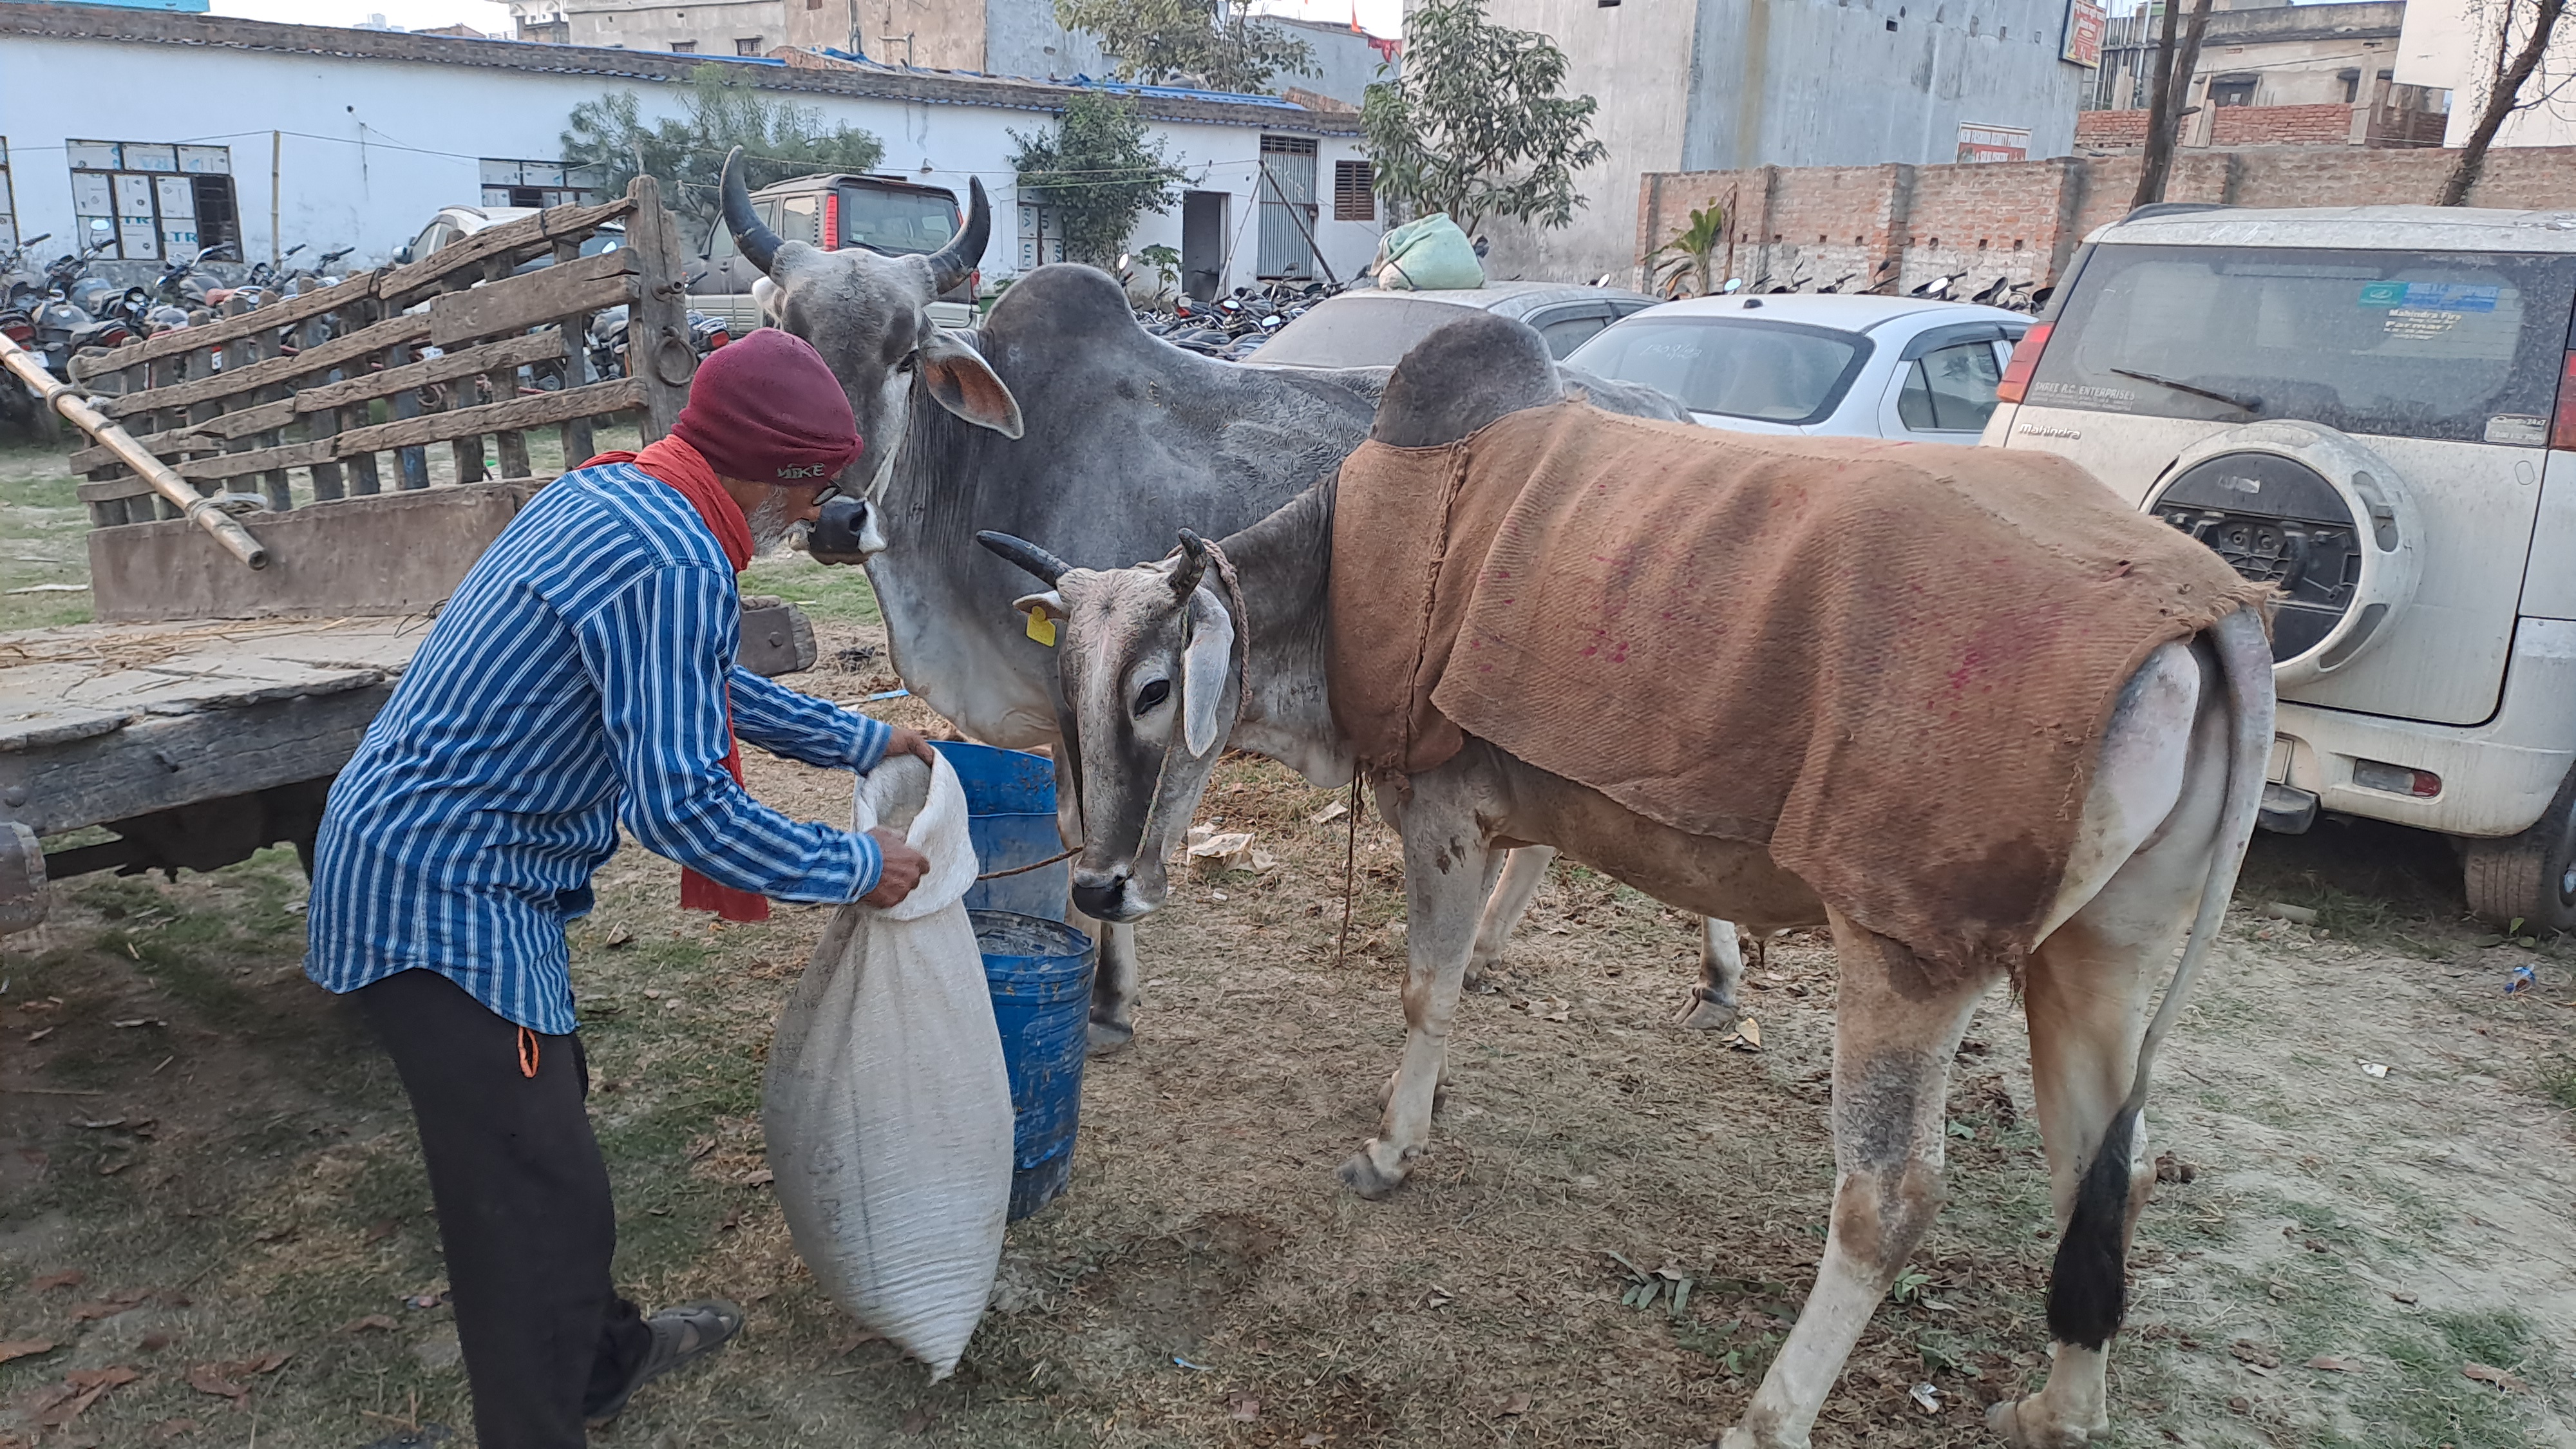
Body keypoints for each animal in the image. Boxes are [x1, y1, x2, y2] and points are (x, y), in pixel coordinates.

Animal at [716, 149, 1741, 1036]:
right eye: (794, 340)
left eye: (904, 355)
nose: (837, 517)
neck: (989, 468)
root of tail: (1669, 412)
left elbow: (1095, 829)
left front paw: (1107, 999)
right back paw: (1495, 952)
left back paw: (1717, 978)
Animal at [979, 310, 2277, 1433]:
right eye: (1063, 687)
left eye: (1155, 689)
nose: (1096, 886)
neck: (1348, 561)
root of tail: (2209, 610)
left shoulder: (1445, 817)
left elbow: (1425, 990)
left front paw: (1394, 1148)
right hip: (2098, 951)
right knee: (2107, 1169)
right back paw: (2060, 1407)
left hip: (1911, 956)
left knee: (1888, 1204)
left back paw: (1768, 1418)